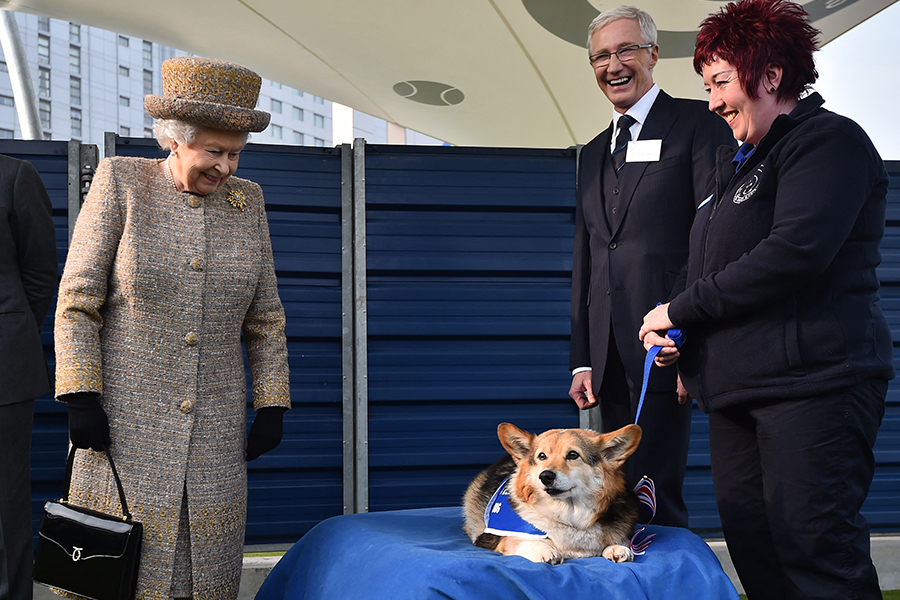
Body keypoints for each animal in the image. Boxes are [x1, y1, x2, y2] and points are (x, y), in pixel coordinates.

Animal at [464, 420, 640, 564]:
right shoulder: (502, 537)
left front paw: (617, 547)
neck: (569, 515)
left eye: (573, 454)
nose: (545, 476)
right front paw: (545, 550)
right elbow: (522, 540)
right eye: (542, 456)